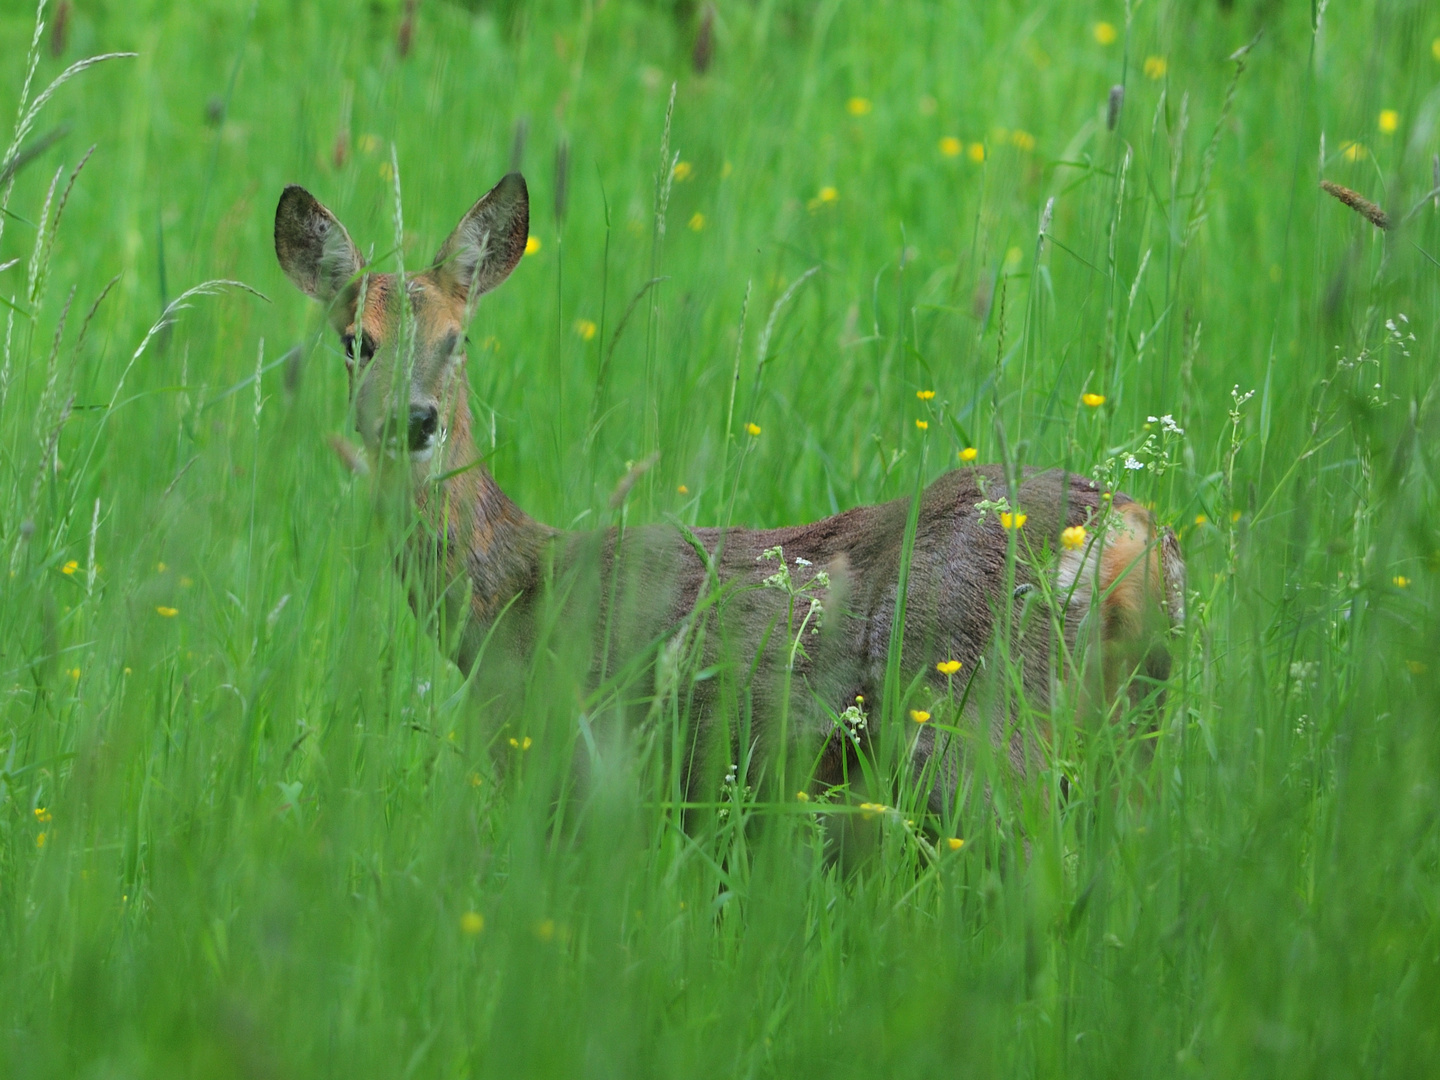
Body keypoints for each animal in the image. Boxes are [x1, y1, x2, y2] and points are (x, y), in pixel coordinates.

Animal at [275, 171, 1186, 812]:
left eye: (456, 339)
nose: (413, 420)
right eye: (355, 341)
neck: (507, 598)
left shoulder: (573, 771)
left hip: (978, 723)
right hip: (1128, 734)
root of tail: (1130, 533)